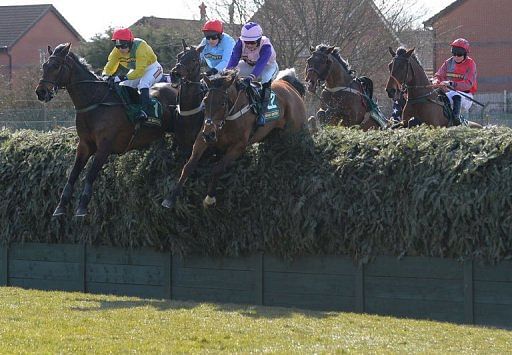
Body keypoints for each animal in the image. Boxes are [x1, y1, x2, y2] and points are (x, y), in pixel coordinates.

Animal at [35, 43, 177, 218]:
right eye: (44, 66)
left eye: (55, 66)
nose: (40, 92)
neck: (95, 102)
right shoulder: (84, 145)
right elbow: (73, 174)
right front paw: (61, 206)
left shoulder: (105, 147)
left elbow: (90, 175)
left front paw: (82, 206)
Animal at [162, 68, 306, 210]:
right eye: (205, 100)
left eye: (222, 103)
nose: (209, 134)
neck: (229, 117)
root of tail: (291, 87)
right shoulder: (202, 138)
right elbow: (188, 166)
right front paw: (170, 198)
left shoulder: (238, 146)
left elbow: (218, 168)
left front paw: (209, 199)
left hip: (292, 131)